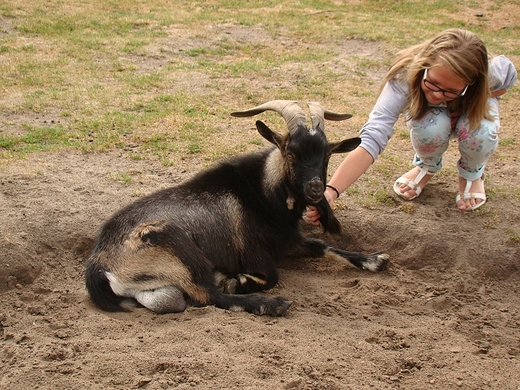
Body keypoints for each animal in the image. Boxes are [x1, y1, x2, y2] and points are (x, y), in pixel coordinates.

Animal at [85, 100, 388, 316]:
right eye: (291, 153)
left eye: (326, 156)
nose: (315, 189)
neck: (263, 194)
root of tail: (99, 264)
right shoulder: (255, 254)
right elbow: (272, 275)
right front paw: (240, 281)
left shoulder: (288, 241)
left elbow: (324, 246)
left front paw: (375, 259)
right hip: (176, 246)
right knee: (210, 295)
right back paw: (269, 303)